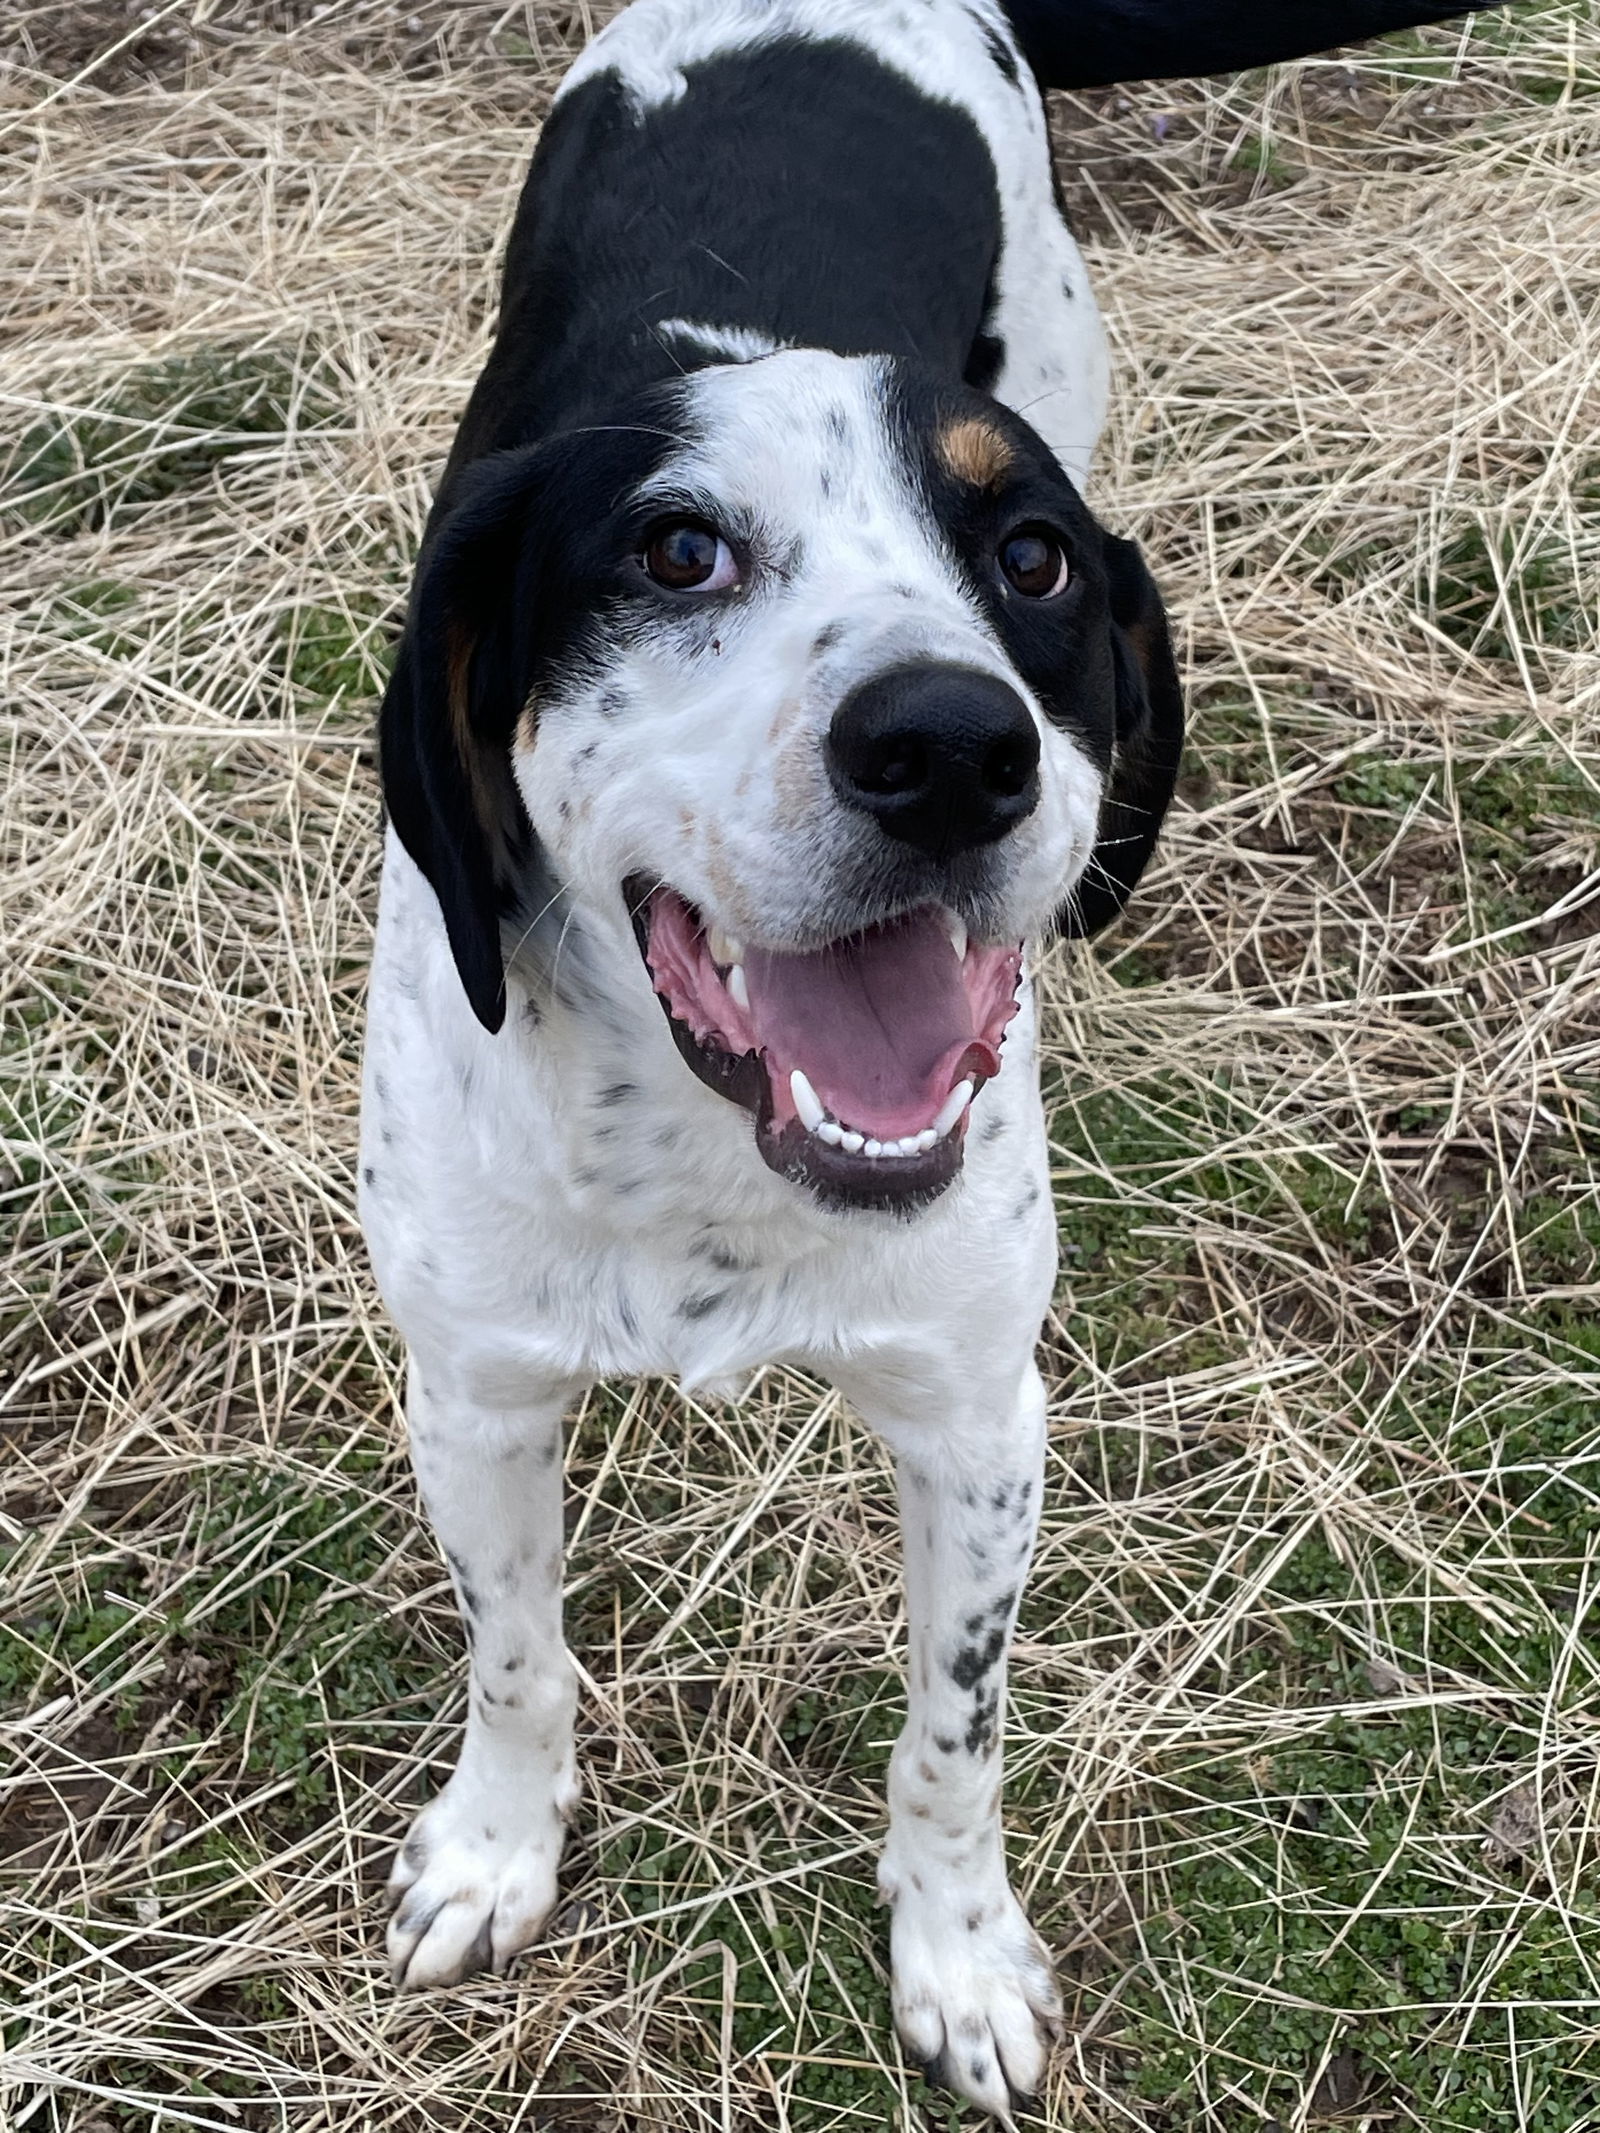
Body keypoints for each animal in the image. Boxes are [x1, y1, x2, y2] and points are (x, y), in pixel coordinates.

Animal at [360, 0, 1501, 2107]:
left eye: (1033, 559)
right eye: (675, 548)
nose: (955, 747)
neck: (712, 1161)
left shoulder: (980, 1418)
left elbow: (951, 1735)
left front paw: (958, 1955)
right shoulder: (474, 1391)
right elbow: (514, 1651)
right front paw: (493, 1844)